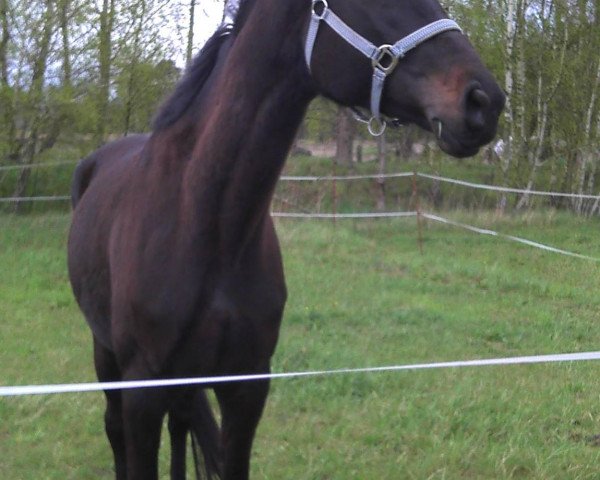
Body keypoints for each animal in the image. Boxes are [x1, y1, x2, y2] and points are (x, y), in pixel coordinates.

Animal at [68, 1, 504, 478]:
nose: (485, 101)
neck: (205, 224)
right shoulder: (143, 391)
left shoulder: (247, 386)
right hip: (106, 353)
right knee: (114, 430)